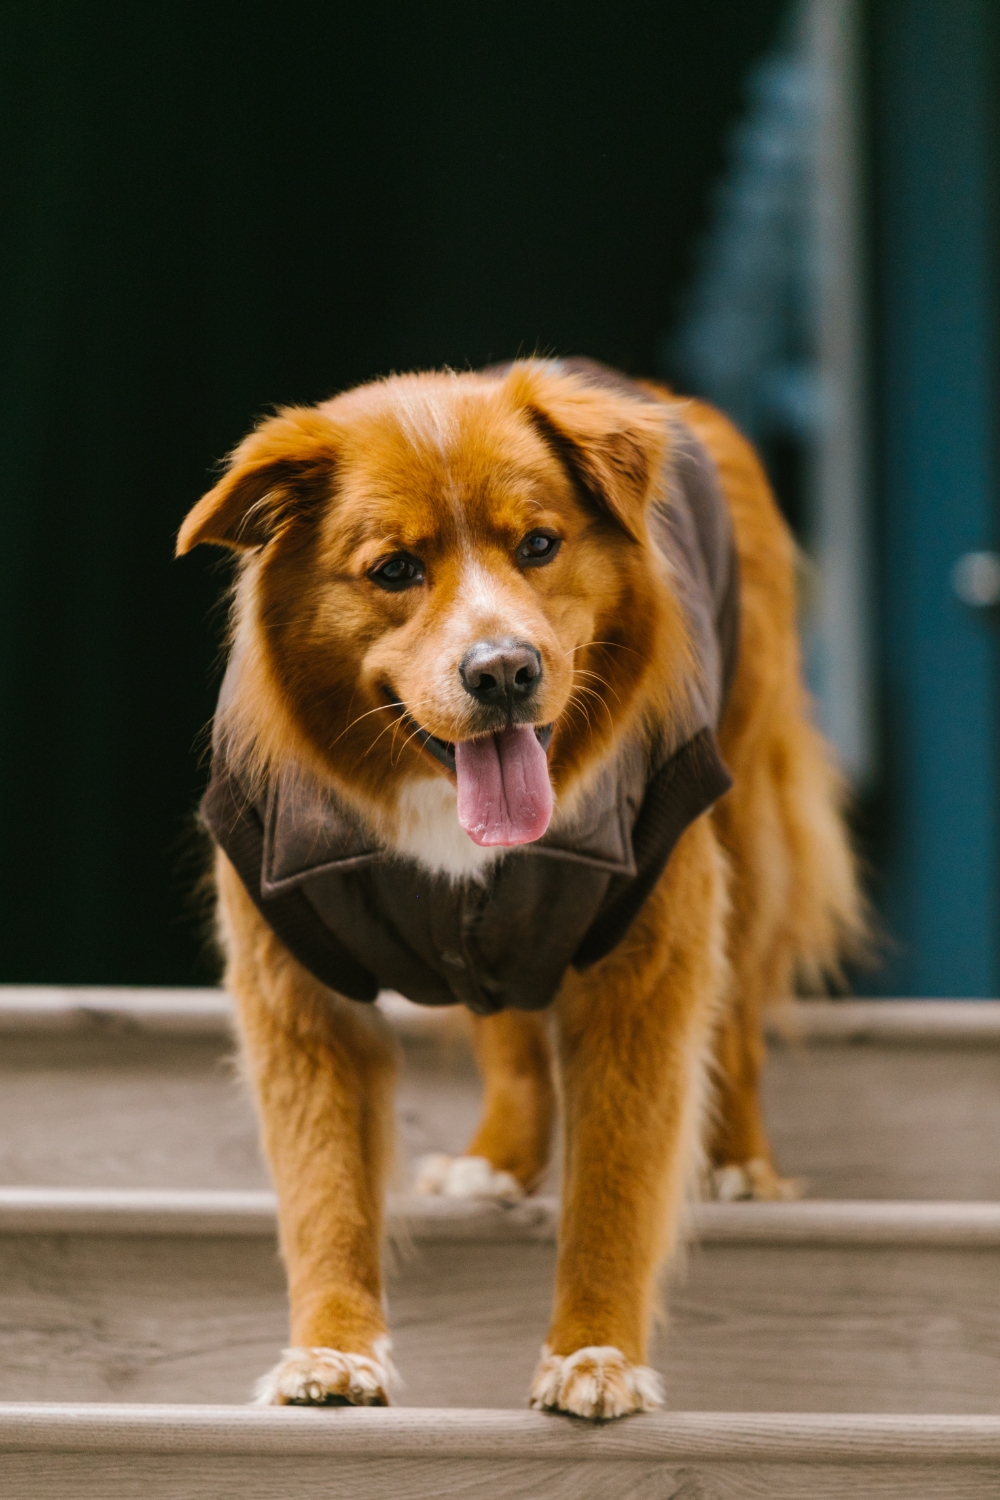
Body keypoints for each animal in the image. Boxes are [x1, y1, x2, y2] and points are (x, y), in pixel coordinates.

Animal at [177, 357, 863, 1410]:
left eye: (539, 544)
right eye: (394, 569)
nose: (503, 671)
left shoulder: (644, 966)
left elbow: (616, 1185)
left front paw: (595, 1353)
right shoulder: (296, 984)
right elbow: (322, 1185)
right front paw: (332, 1351)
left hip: (745, 820)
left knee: (742, 1011)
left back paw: (744, 1162)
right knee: (503, 1024)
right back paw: (497, 1161)